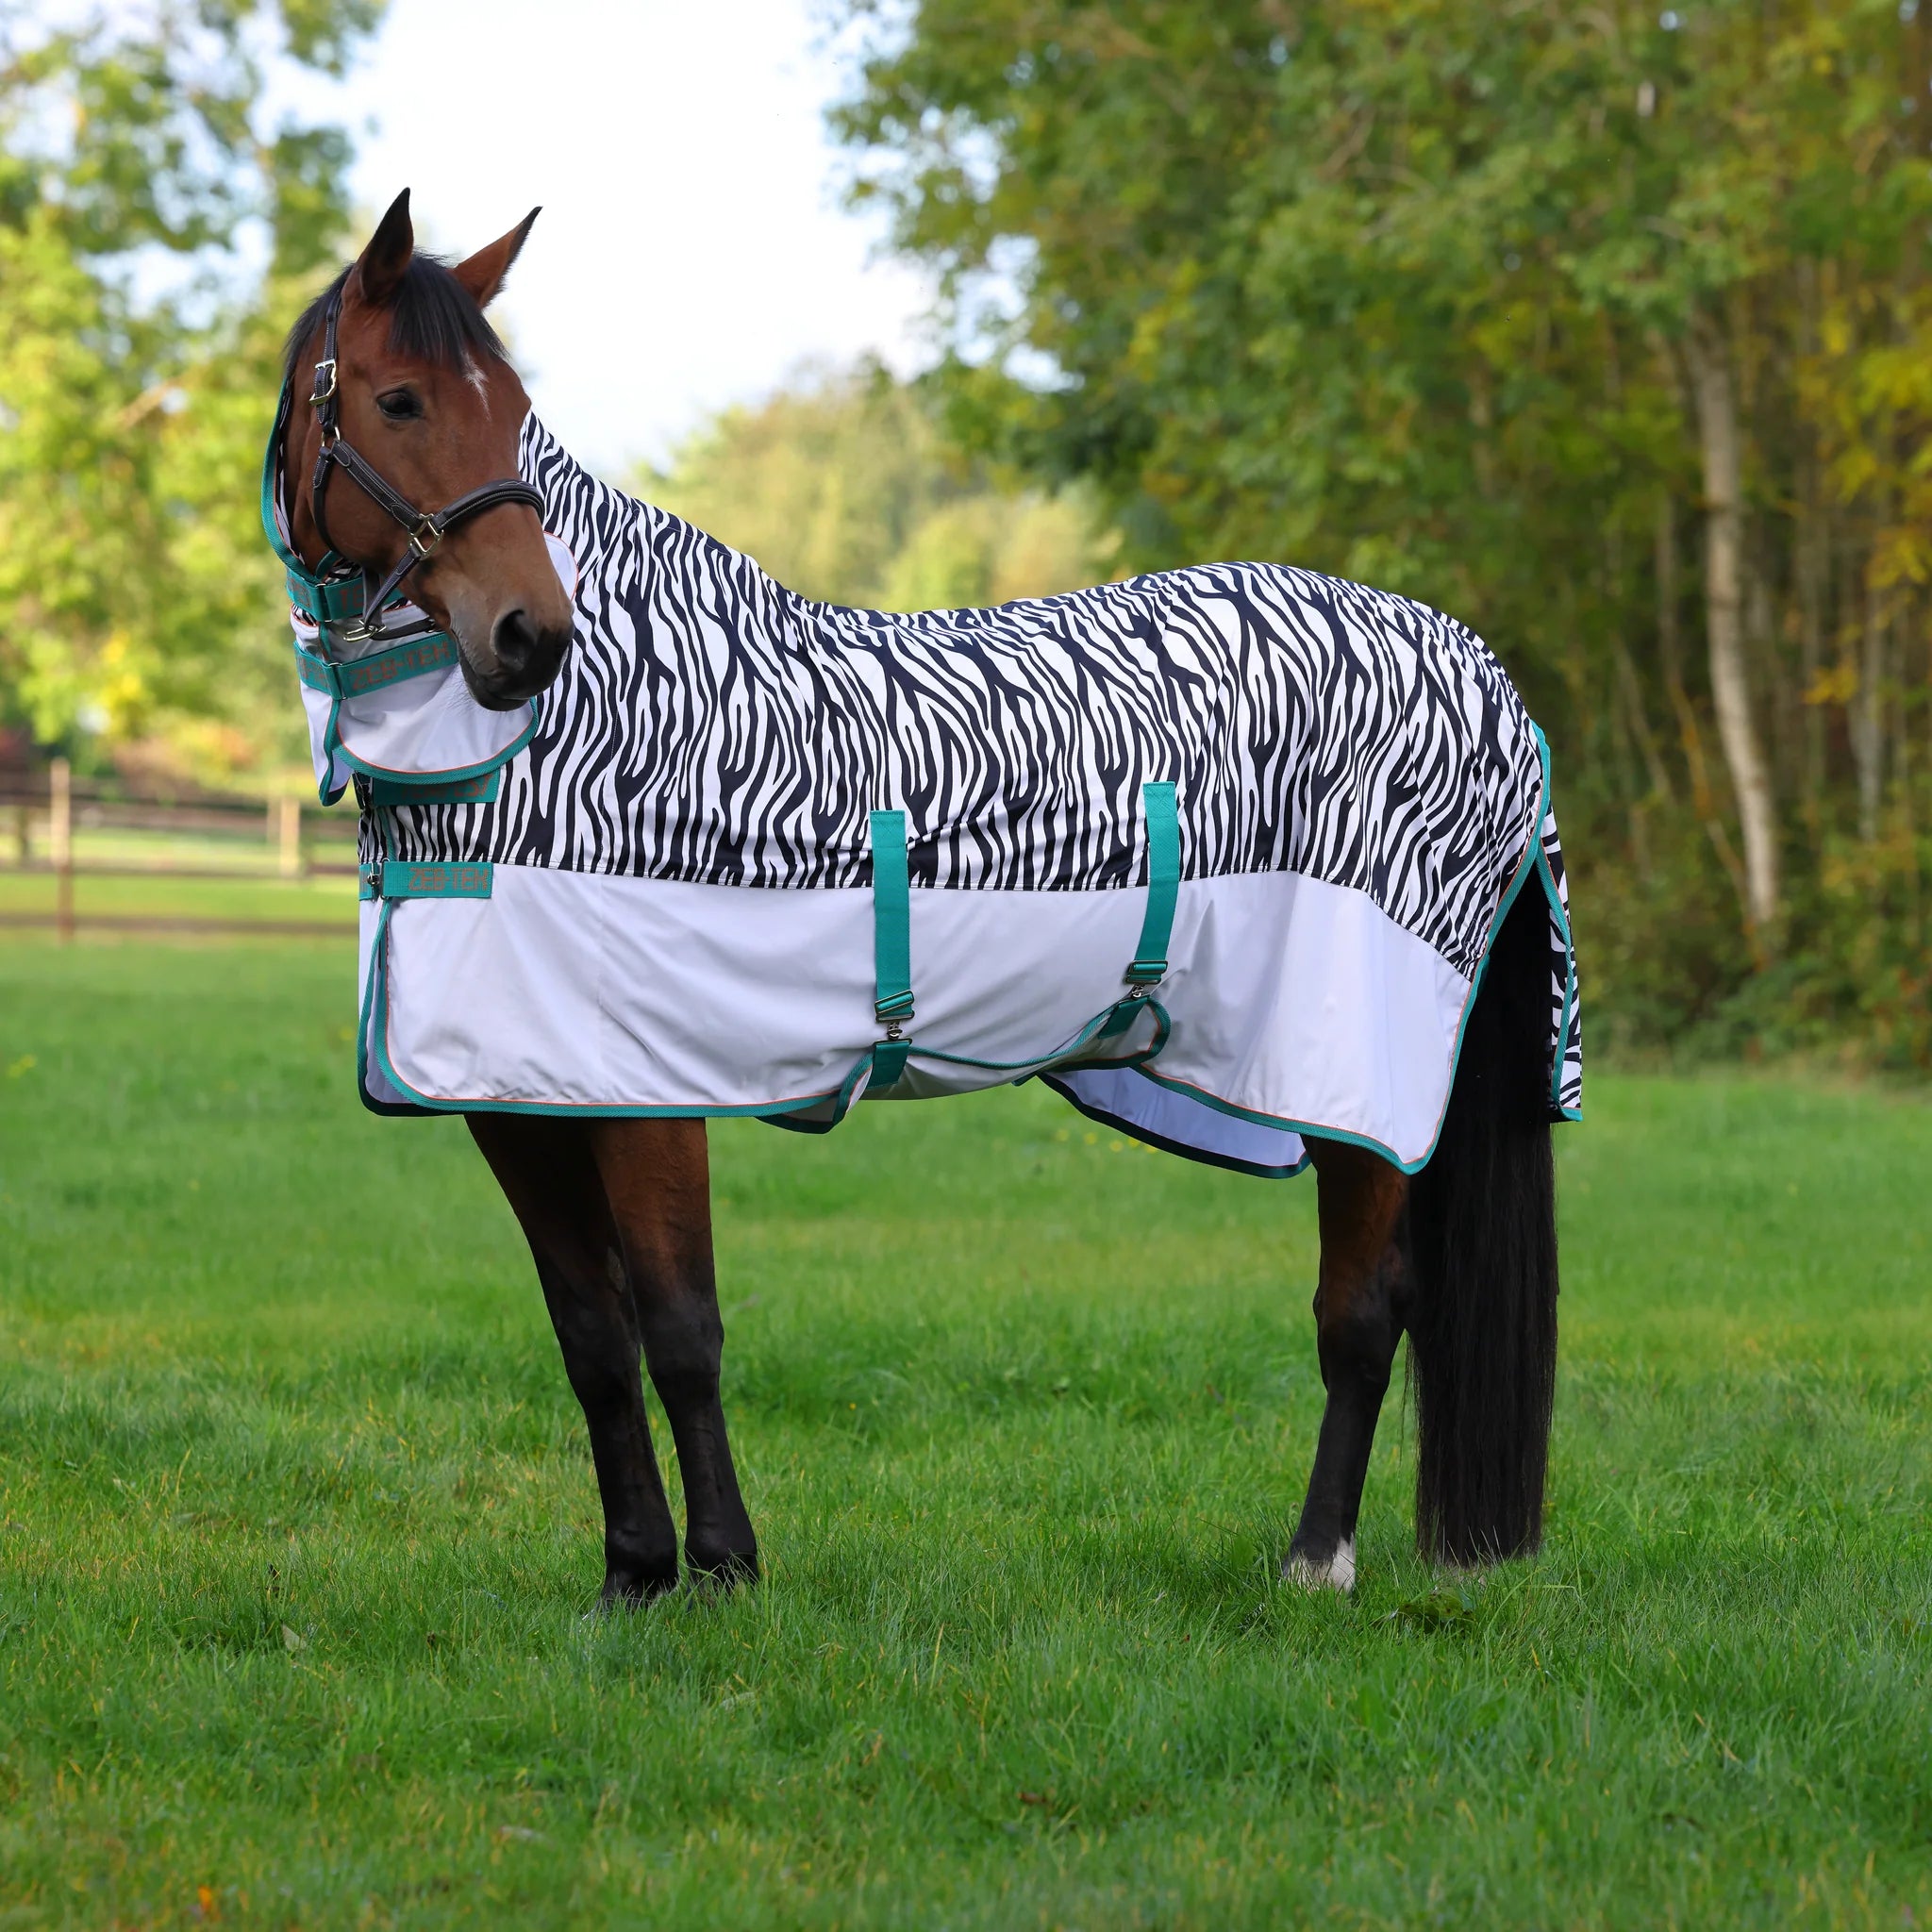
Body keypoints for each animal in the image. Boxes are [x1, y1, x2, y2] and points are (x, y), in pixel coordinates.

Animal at [267, 191, 1571, 1605]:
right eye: (401, 400)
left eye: (510, 408)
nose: (529, 637)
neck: (564, 739)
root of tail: (1479, 671)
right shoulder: (519, 1103)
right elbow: (592, 1337)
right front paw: (632, 1575)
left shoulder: (652, 1089)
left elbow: (680, 1327)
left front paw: (721, 1569)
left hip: (1355, 1074)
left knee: (1362, 1310)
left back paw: (1315, 1560)